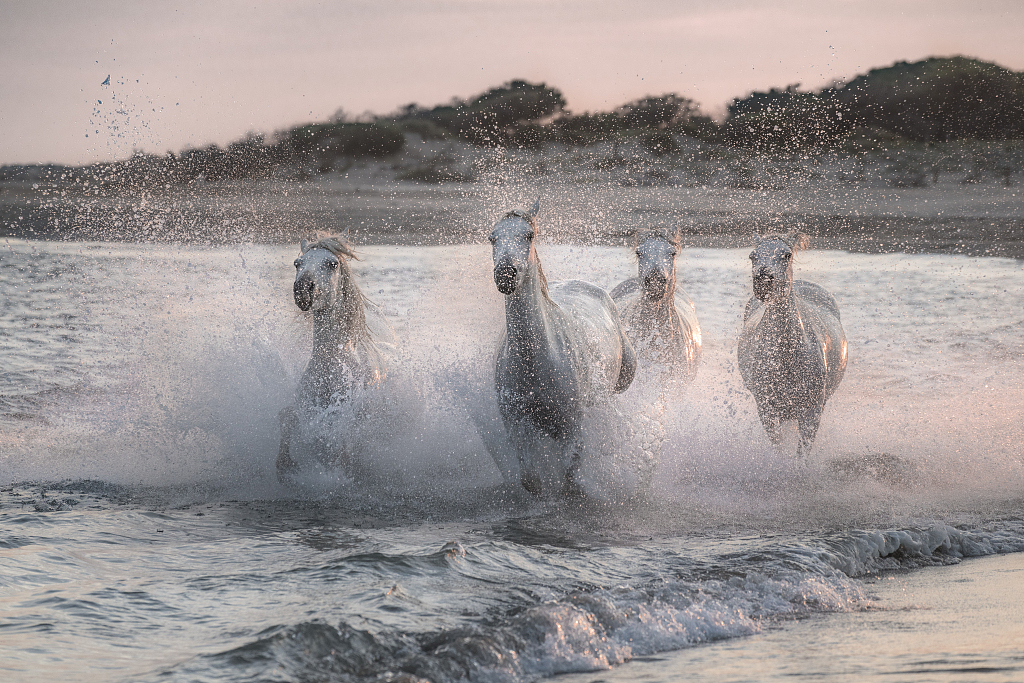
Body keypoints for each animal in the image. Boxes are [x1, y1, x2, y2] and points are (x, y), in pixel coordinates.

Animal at [278, 235, 397, 481]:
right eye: (297, 263)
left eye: (332, 264)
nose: (302, 290)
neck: (331, 367)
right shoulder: (307, 411)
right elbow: (288, 419)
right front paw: (286, 465)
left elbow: (342, 447)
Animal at [489, 201, 634, 497]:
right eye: (492, 238)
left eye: (528, 235)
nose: (505, 274)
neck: (535, 361)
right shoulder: (516, 426)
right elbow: (531, 479)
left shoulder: (573, 429)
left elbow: (569, 479)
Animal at [737, 232, 847, 456]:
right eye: (752, 256)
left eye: (786, 255)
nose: (763, 280)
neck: (786, 357)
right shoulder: (768, 411)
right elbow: (779, 448)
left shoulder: (811, 412)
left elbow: (801, 454)